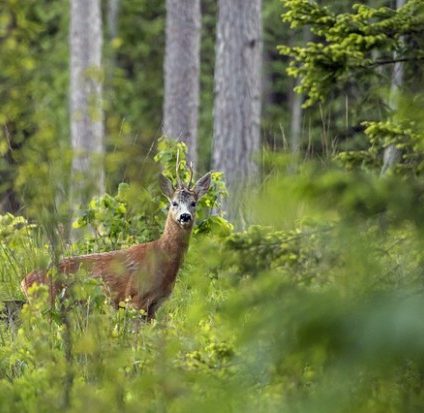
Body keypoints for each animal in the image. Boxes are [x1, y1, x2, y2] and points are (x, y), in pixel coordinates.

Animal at [20, 165, 211, 318]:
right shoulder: (135, 298)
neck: (162, 259)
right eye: (174, 203)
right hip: (46, 303)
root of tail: (24, 281)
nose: (184, 216)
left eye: (194, 203)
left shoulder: (154, 306)